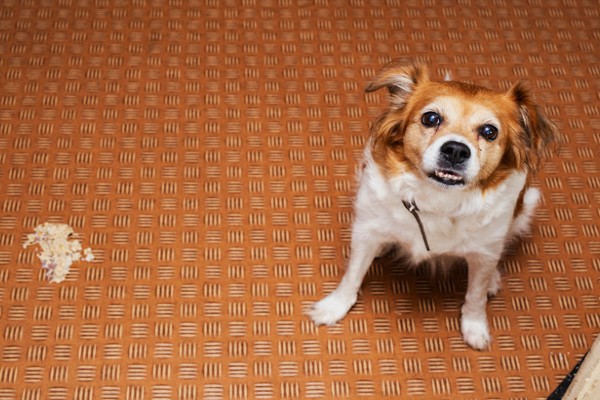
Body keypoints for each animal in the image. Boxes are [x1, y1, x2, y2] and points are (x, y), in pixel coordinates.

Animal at [310, 60, 556, 350]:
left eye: (489, 132)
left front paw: (475, 327)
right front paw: (334, 307)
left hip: (523, 210)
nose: (456, 150)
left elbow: (475, 296)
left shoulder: (485, 251)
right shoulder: (366, 229)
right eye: (431, 118)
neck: (438, 199)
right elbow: (353, 274)